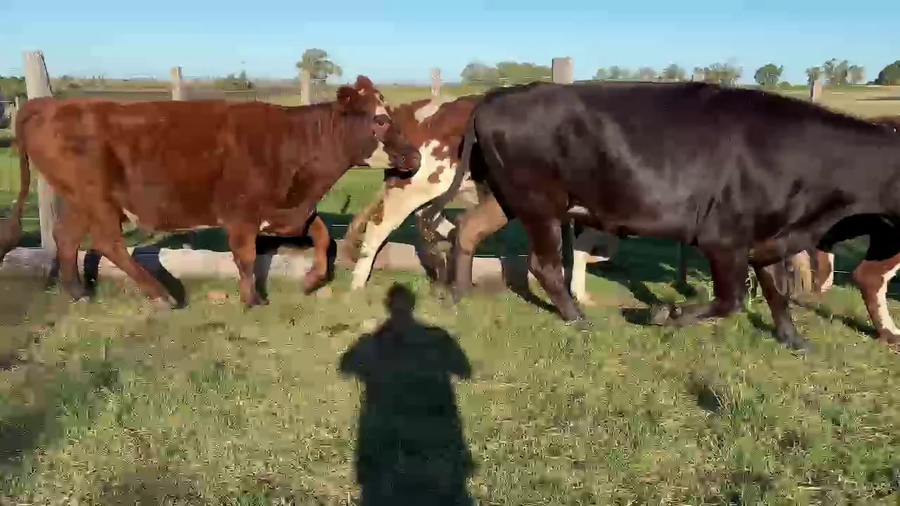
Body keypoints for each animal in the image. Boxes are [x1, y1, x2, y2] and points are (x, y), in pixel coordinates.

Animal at [0, 76, 421, 309]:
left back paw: (78, 291)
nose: (416, 155)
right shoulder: (242, 214)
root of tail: (49, 105)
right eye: (381, 120)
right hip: (97, 198)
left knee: (67, 237)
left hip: (78, 199)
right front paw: (253, 298)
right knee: (107, 243)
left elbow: (322, 237)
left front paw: (312, 280)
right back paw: (162, 296)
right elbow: (246, 257)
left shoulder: (291, 211)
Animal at [340, 95, 620, 306]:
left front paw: (581, 292)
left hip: (431, 190)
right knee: (379, 227)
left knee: (433, 221)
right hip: (411, 188)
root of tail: (410, 109)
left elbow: (585, 248)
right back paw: (357, 283)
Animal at [438, 80, 900, 351]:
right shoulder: (723, 239)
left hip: (507, 197)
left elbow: (777, 292)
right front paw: (667, 315)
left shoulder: (770, 237)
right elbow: (731, 300)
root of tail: (497, 95)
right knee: (545, 264)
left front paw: (793, 339)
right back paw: (578, 319)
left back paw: (460, 293)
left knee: (467, 228)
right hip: (539, 201)